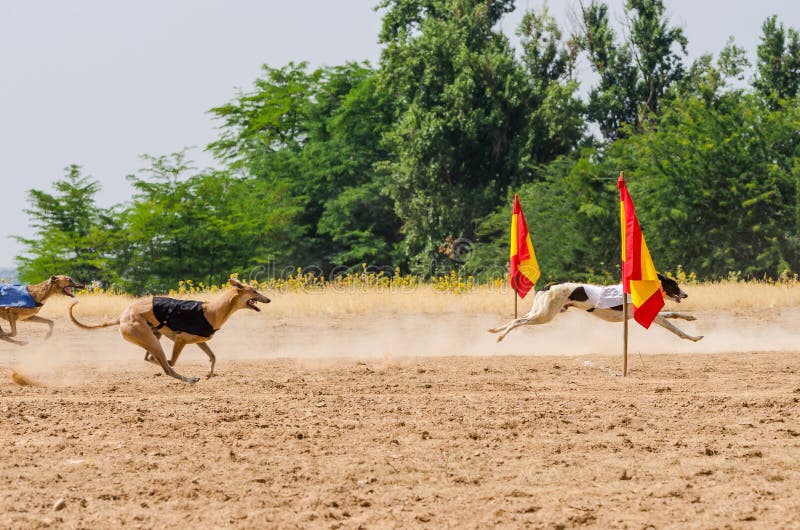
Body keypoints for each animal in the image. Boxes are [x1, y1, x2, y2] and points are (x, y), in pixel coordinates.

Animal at [69, 276, 268, 384]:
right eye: (254, 291)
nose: (268, 299)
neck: (213, 310)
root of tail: (122, 317)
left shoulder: (200, 341)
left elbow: (213, 356)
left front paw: (209, 374)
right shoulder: (181, 340)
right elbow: (172, 361)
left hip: (153, 336)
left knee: (151, 358)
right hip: (151, 339)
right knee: (168, 367)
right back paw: (189, 379)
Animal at [490, 272, 704, 342]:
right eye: (674, 285)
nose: (685, 294)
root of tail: (549, 285)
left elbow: (674, 314)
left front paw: (690, 318)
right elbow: (676, 329)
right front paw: (694, 338)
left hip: (540, 311)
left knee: (516, 319)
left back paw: (495, 330)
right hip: (544, 316)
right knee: (518, 321)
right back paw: (501, 336)